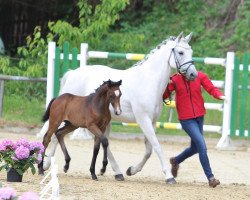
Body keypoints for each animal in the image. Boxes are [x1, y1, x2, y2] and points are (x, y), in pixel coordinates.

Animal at [38, 32, 197, 184]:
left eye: (191, 52)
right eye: (181, 52)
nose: (193, 74)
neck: (148, 81)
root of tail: (72, 74)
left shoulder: (151, 122)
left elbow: (149, 150)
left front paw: (132, 170)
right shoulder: (143, 120)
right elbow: (157, 147)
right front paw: (169, 176)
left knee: (88, 140)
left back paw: (116, 172)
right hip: (69, 119)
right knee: (54, 136)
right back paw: (46, 165)